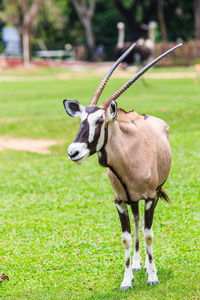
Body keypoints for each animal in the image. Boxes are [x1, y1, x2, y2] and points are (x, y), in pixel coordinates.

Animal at [63, 42, 182, 290]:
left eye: (100, 121)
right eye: (81, 121)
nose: (73, 152)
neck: (130, 154)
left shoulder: (150, 197)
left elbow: (148, 234)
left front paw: (153, 276)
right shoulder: (119, 201)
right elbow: (127, 237)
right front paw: (127, 279)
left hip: (152, 194)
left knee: (143, 226)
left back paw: (147, 267)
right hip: (132, 200)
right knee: (136, 222)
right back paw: (137, 264)